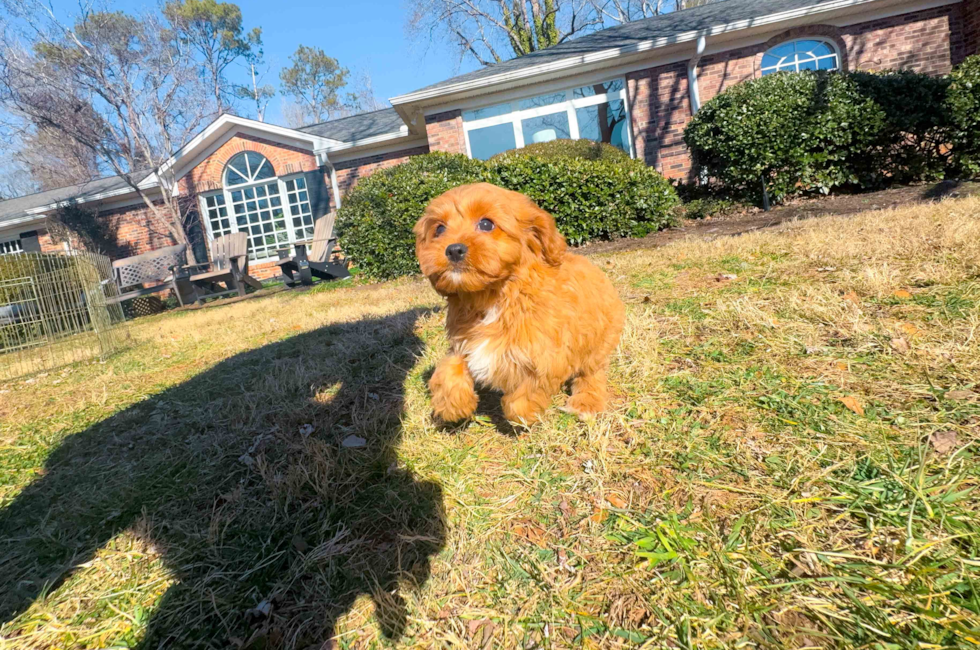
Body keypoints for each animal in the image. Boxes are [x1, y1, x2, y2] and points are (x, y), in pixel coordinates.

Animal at [416, 182, 628, 426]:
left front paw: (525, 415)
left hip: (599, 338)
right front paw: (452, 405)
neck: (493, 297)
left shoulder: (546, 354)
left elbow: (528, 390)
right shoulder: (465, 342)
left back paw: (586, 402)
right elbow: (449, 366)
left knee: (592, 372)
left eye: (486, 224)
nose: (453, 249)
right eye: (439, 229)